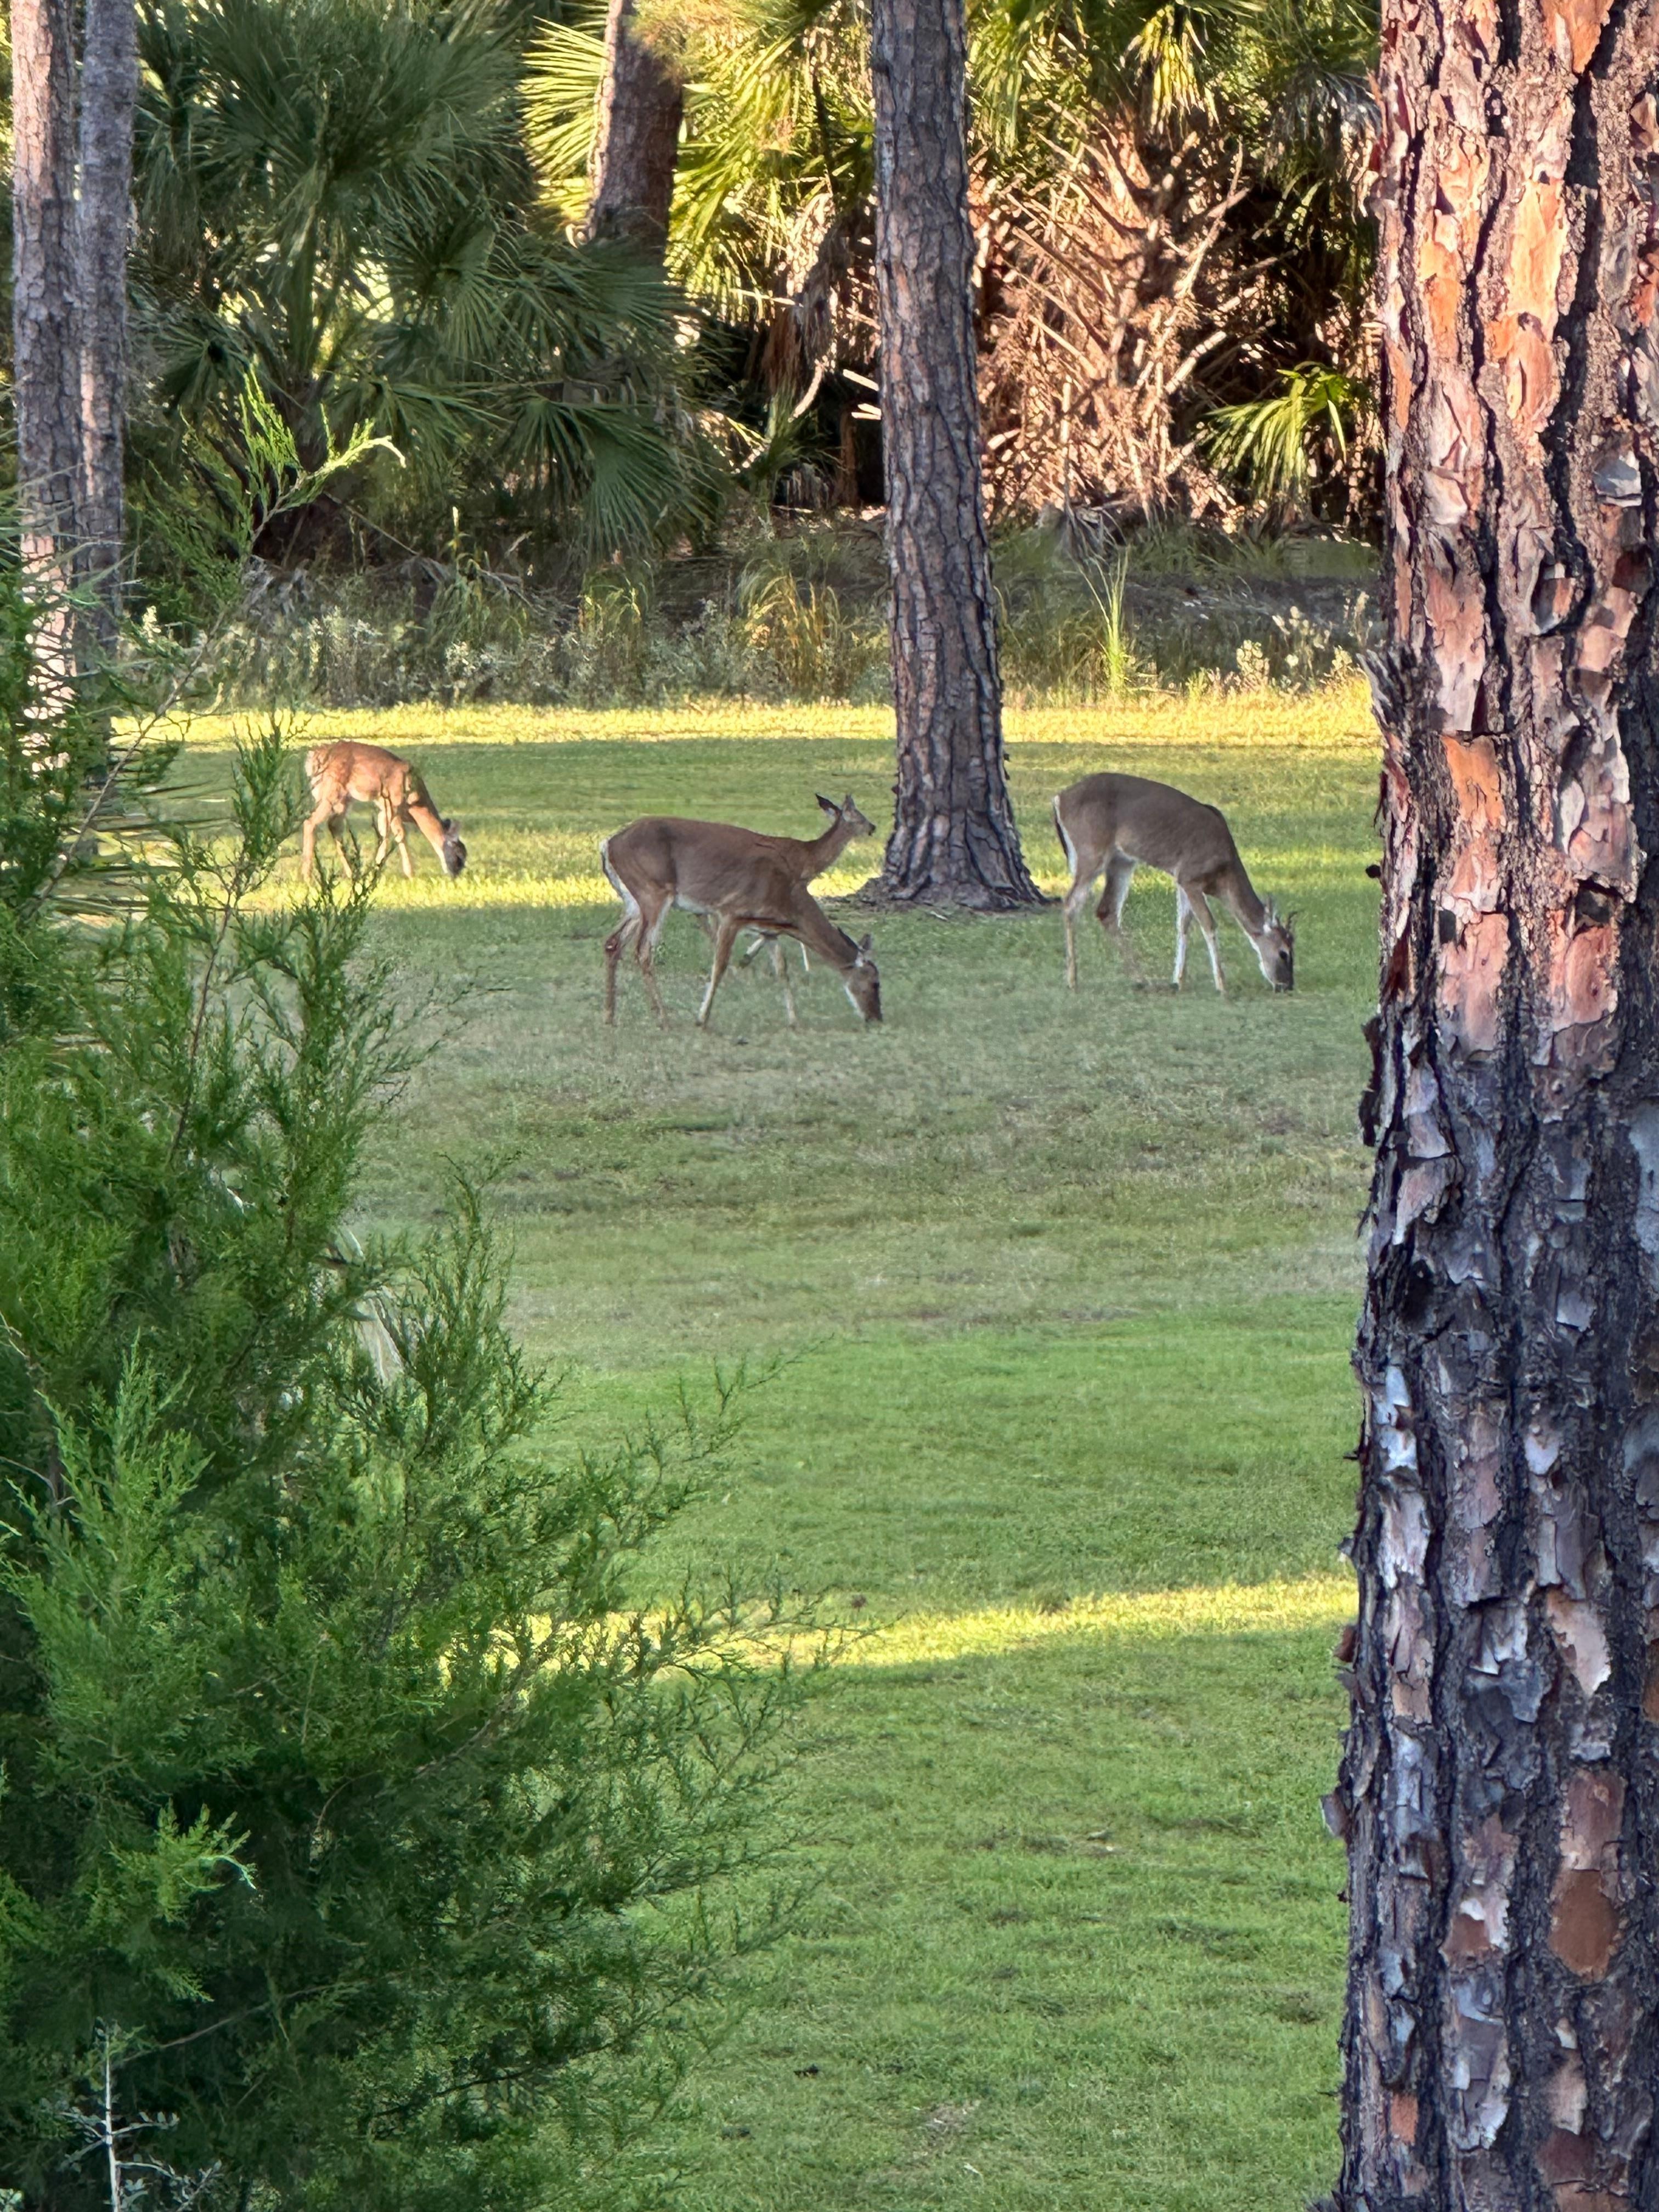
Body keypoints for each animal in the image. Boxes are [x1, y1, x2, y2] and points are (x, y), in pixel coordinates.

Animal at [300, 740, 467, 883]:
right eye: (459, 856)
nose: (456, 876)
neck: (415, 805)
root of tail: (313, 758)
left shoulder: (384, 809)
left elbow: (383, 834)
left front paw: (376, 869)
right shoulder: (393, 802)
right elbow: (400, 834)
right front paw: (410, 874)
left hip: (343, 800)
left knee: (334, 826)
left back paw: (351, 873)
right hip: (332, 791)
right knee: (310, 822)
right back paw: (307, 878)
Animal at [600, 796, 882, 1029]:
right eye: (875, 983)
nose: (877, 1018)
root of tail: (607, 844)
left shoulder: (769, 928)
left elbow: (782, 970)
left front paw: (794, 1021)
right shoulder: (730, 912)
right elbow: (720, 964)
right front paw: (702, 1018)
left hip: (634, 901)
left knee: (613, 942)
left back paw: (610, 1016)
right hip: (655, 892)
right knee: (643, 951)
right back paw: (663, 1019)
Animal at [1052, 772, 1294, 994]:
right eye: (1284, 953)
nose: (1287, 986)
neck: (1222, 874)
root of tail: (1058, 799)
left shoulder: (1182, 880)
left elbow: (1184, 924)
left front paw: (1179, 980)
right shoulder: (1190, 875)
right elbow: (1208, 924)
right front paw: (1222, 985)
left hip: (1122, 861)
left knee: (1106, 911)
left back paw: (1142, 980)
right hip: (1091, 852)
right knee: (1071, 903)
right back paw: (1073, 981)